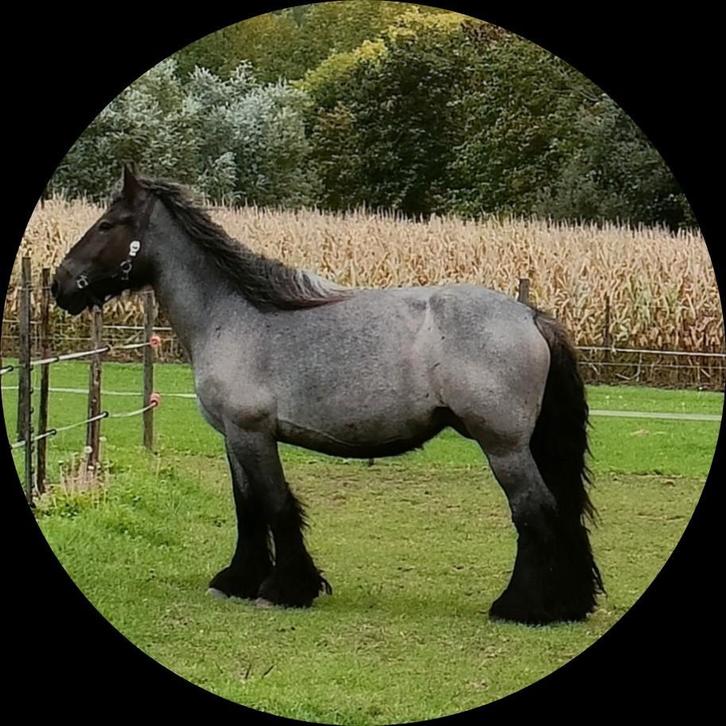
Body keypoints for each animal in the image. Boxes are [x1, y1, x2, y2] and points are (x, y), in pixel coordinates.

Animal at [51, 166, 603, 625]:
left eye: (108, 225)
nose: (60, 284)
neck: (234, 317)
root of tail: (529, 315)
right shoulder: (233, 437)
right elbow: (247, 507)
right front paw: (237, 580)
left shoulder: (253, 433)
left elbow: (275, 505)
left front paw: (285, 589)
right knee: (559, 511)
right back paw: (569, 603)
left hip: (503, 447)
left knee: (534, 512)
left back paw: (521, 607)